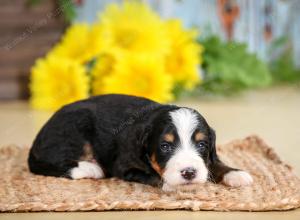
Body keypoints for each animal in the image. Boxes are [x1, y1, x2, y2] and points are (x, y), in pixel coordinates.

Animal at [28, 94, 253, 191]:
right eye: (165, 146)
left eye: (201, 145)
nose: (189, 173)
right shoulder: (125, 166)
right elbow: (154, 176)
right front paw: (170, 184)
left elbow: (213, 162)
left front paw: (235, 173)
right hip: (73, 129)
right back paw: (91, 168)